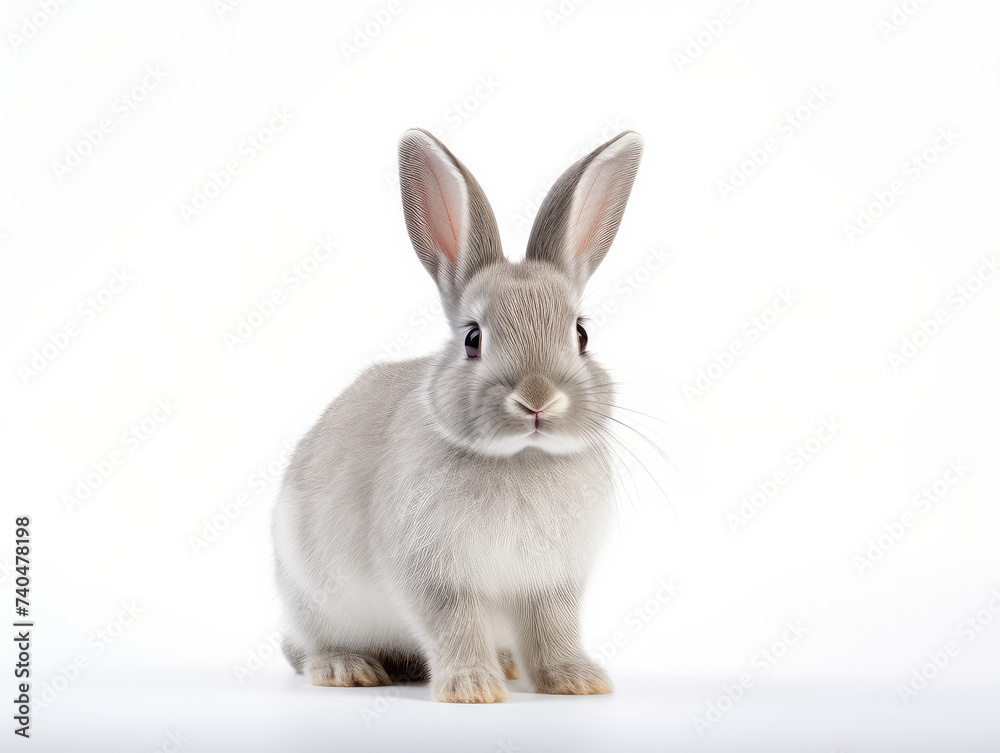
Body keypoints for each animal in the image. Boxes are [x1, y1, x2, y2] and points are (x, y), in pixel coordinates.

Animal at [270, 126, 644, 704]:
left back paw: (508, 665)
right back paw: (347, 669)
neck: (521, 459)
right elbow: (454, 624)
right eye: (473, 338)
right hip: (311, 595)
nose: (538, 399)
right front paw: (472, 689)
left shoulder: (549, 581)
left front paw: (576, 680)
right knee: (311, 646)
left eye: (581, 335)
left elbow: (552, 629)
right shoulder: (436, 578)